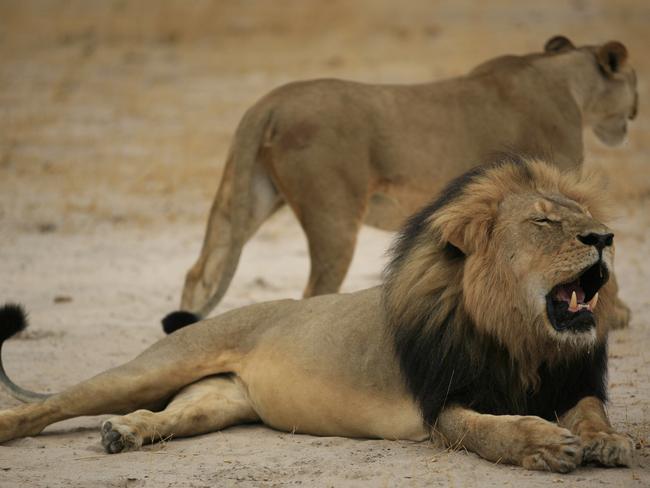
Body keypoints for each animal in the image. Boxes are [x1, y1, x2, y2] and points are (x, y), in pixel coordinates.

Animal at [0, 160, 632, 472]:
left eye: (582, 216)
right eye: (544, 221)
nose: (605, 238)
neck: (521, 339)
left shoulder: (570, 382)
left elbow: (593, 412)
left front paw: (608, 443)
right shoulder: (442, 406)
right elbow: (492, 431)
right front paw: (544, 445)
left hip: (218, 402)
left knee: (172, 415)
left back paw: (125, 432)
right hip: (157, 365)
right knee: (57, 403)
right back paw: (19, 427)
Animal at [165, 35, 636, 332]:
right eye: (633, 83)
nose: (634, 113)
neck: (566, 80)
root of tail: (269, 102)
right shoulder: (553, 186)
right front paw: (615, 314)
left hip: (250, 197)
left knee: (200, 270)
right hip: (334, 215)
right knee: (314, 290)